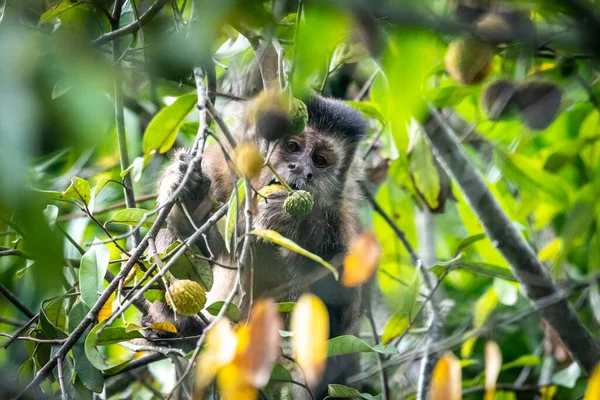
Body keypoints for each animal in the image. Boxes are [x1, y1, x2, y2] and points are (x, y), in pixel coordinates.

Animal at [146, 94, 370, 396]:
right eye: (292, 147)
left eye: (320, 160)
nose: (303, 171)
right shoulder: (223, 168)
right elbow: (196, 236)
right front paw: (185, 184)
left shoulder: (341, 220)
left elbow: (333, 317)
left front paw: (295, 224)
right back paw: (179, 326)